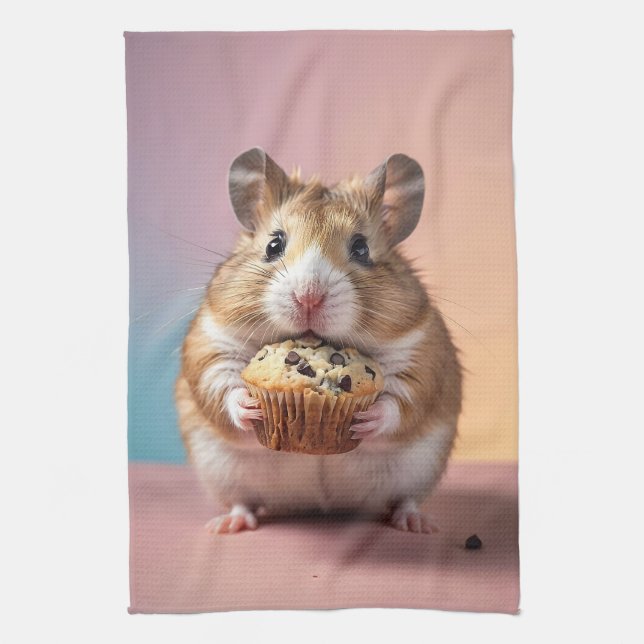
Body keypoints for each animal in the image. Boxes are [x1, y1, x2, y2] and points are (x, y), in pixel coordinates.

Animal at [175, 147, 462, 534]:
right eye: (274, 244)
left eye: (361, 248)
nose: (308, 297)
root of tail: (321, 508)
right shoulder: (210, 341)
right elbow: (222, 385)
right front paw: (250, 407)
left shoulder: (423, 352)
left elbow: (399, 399)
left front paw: (365, 420)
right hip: (222, 473)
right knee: (243, 501)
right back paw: (227, 524)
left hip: (420, 471)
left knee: (405, 499)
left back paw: (417, 524)